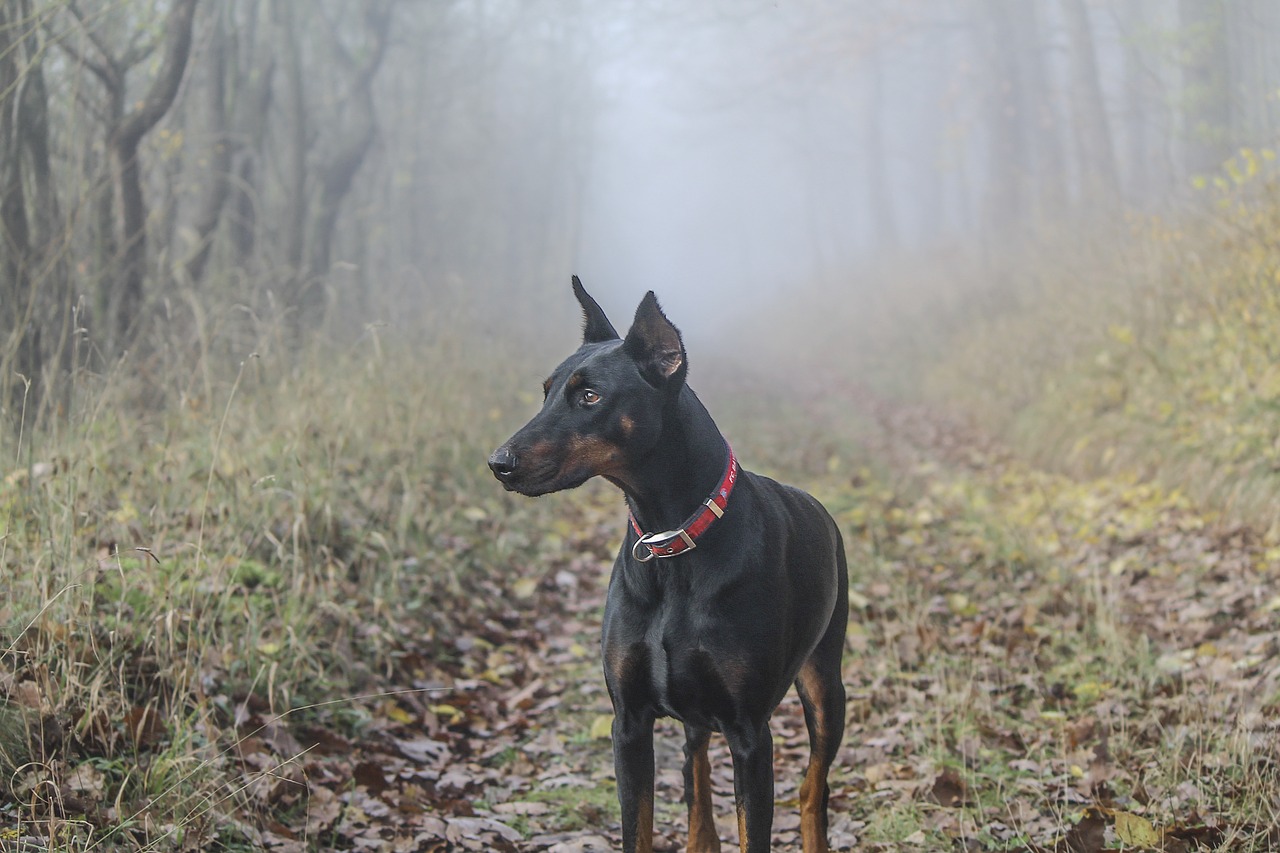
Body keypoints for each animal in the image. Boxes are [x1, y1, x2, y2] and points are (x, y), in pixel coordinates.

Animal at [488, 277, 849, 845]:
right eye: (545, 391)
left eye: (590, 396)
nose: (498, 463)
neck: (672, 542)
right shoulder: (629, 722)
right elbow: (638, 826)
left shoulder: (750, 734)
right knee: (694, 764)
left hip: (825, 684)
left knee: (814, 786)